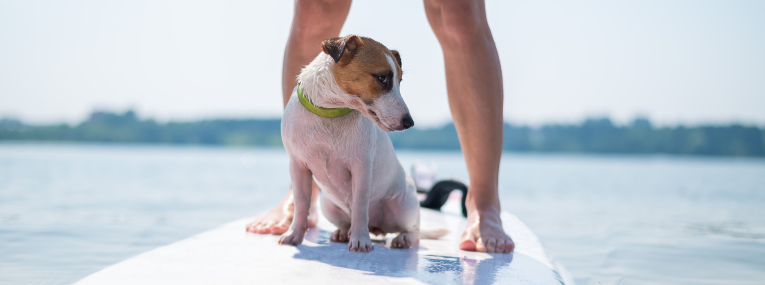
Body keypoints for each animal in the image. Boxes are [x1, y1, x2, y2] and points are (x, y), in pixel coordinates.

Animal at [280, 35, 448, 251]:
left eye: (400, 80)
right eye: (382, 78)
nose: (409, 122)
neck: (331, 112)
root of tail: (378, 227)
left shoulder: (361, 168)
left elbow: (360, 205)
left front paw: (360, 239)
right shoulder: (298, 166)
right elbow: (301, 203)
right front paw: (294, 234)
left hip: (403, 207)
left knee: (414, 231)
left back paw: (401, 238)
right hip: (329, 206)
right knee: (346, 221)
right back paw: (343, 232)